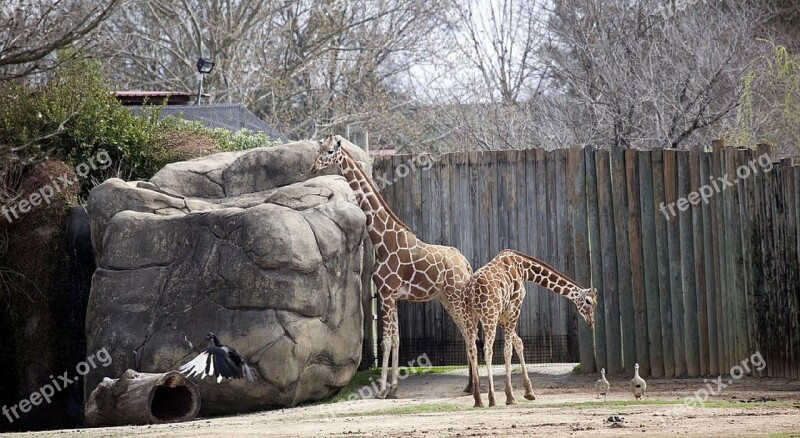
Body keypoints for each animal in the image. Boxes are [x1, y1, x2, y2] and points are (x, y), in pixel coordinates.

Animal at [310, 135, 476, 398]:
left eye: (328, 151)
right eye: (319, 149)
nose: (313, 167)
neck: (383, 239)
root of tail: (466, 265)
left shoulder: (386, 293)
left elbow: (386, 340)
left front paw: (380, 390)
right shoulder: (394, 297)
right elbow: (396, 339)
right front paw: (394, 388)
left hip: (455, 294)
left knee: (471, 331)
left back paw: (475, 387)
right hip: (446, 298)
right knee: (466, 331)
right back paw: (469, 385)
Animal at [454, 250, 596, 408]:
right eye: (589, 302)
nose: (592, 323)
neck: (524, 268)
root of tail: (470, 291)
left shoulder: (502, 315)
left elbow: (519, 343)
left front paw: (529, 391)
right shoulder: (514, 307)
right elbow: (508, 350)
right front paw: (510, 396)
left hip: (468, 317)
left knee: (472, 350)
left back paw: (478, 399)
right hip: (488, 316)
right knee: (487, 350)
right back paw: (492, 398)